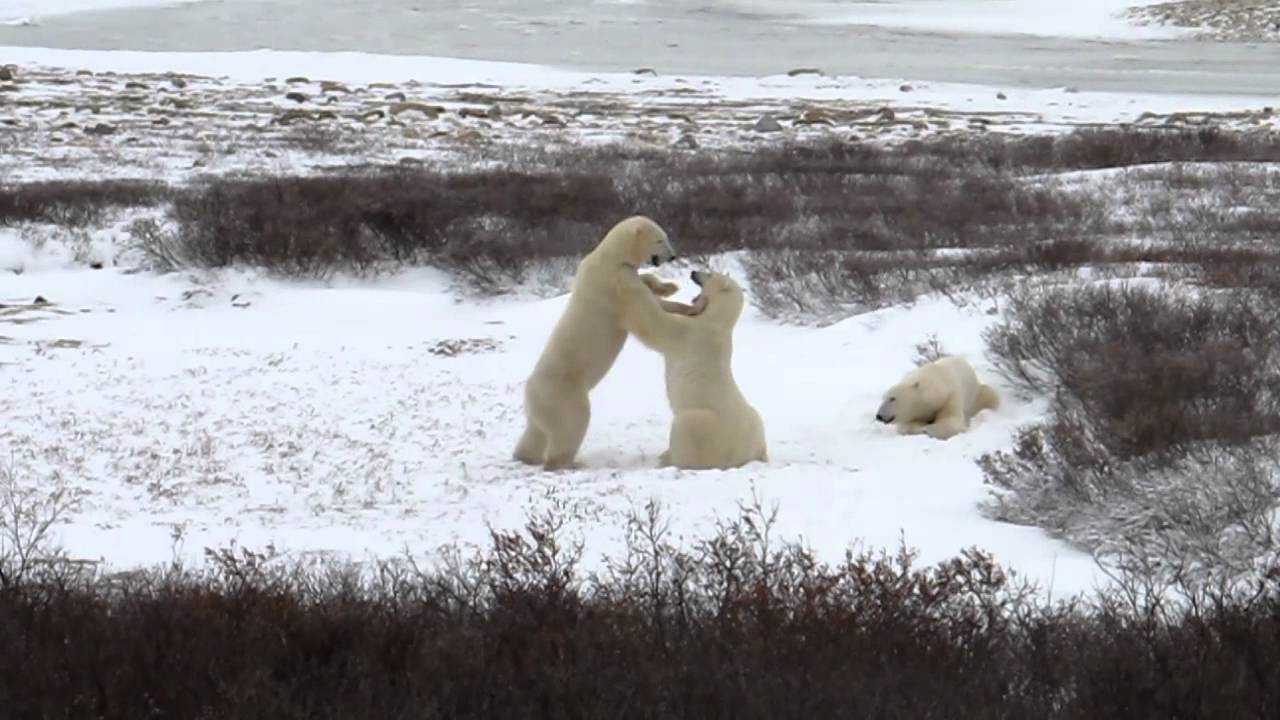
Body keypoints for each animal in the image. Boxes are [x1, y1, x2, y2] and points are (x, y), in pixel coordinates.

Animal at [513, 215, 683, 470]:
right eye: (660, 239)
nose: (672, 256)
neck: (610, 257)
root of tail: (530, 390)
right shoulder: (616, 285)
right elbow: (643, 311)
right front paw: (686, 306)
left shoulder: (622, 273)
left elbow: (645, 281)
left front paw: (669, 287)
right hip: (562, 393)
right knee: (572, 422)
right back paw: (569, 462)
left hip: (540, 406)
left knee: (536, 432)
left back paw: (524, 455)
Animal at [614, 268, 768, 470]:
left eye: (710, 274)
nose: (694, 272)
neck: (717, 320)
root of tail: (746, 456)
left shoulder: (690, 332)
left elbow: (655, 325)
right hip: (755, 421)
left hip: (704, 426)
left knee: (685, 426)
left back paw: (667, 458)